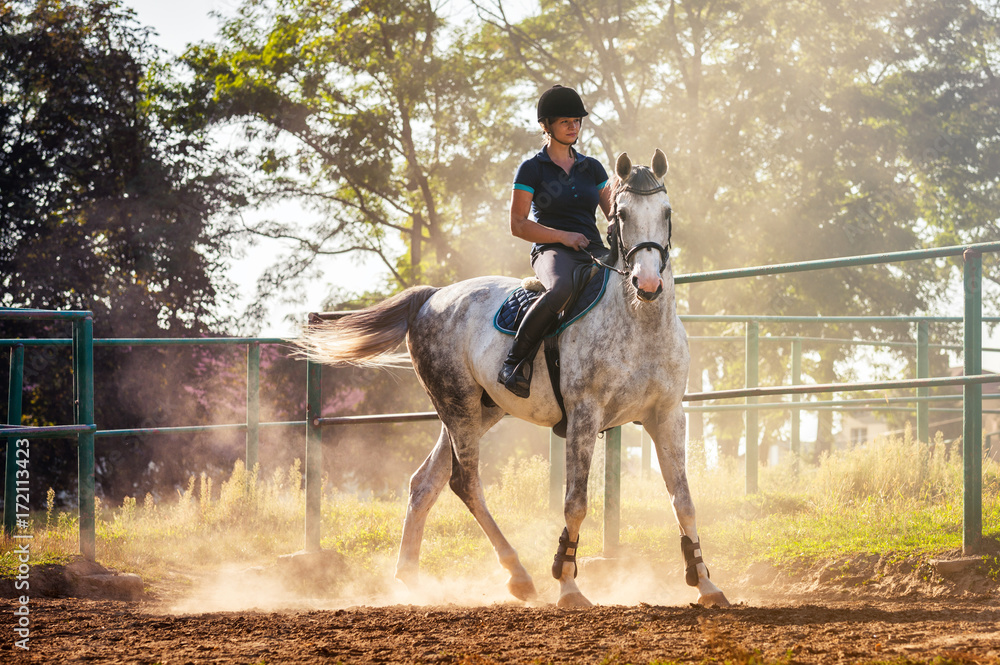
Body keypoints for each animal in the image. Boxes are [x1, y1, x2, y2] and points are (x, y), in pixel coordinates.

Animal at [294, 149, 728, 608]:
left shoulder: (668, 416)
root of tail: (431, 298)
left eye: (666, 212)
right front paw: (568, 584)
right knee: (464, 483)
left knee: (424, 483)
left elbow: (684, 501)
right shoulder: (585, 416)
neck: (638, 320)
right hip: (458, 407)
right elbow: (576, 503)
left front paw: (705, 583)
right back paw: (518, 575)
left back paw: (411, 577)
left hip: (478, 413)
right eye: (622, 214)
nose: (647, 283)